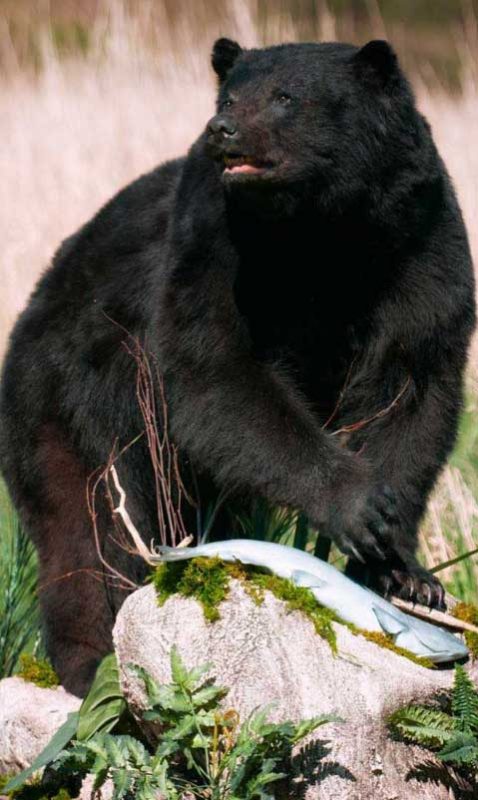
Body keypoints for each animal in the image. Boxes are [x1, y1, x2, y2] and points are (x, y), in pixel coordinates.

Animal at [0, 38, 475, 696]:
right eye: (228, 98)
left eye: (285, 97)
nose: (222, 130)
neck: (324, 226)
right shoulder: (210, 234)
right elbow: (217, 370)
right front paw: (358, 504)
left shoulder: (420, 238)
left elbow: (412, 388)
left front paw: (404, 570)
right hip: (69, 405)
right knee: (88, 534)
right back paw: (90, 662)